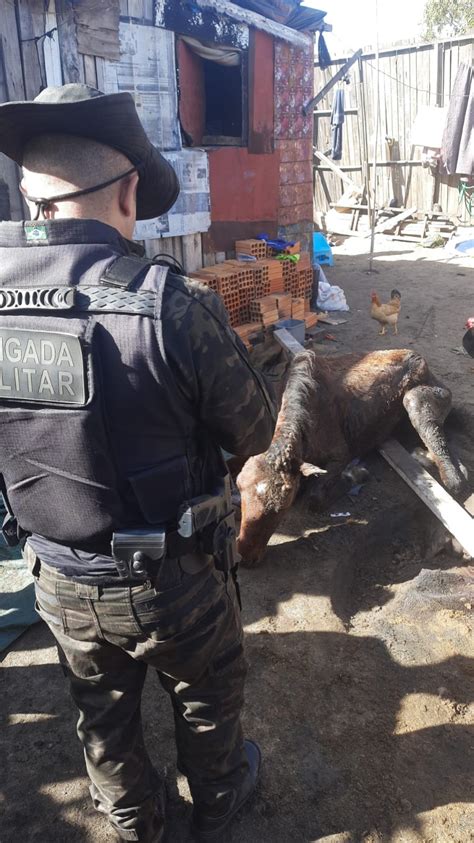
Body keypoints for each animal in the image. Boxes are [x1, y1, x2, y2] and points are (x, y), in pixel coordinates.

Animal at [237, 350, 466, 568]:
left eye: (280, 509)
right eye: (239, 487)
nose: (246, 556)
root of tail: (424, 362)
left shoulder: (341, 454)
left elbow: (314, 500)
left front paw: (356, 475)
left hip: (415, 401)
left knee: (454, 477)